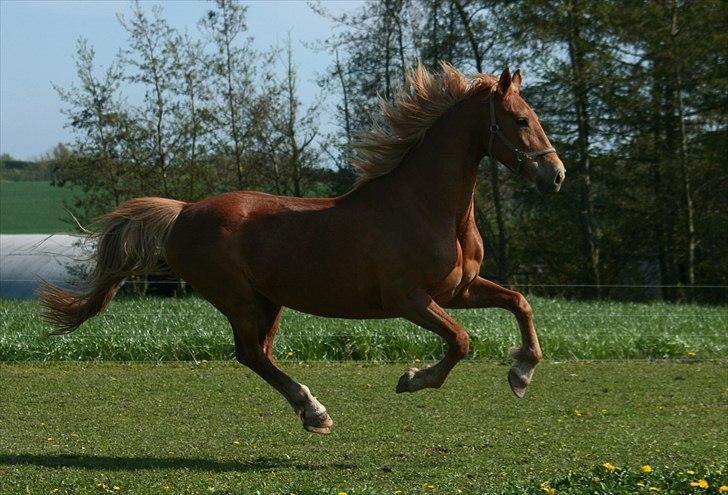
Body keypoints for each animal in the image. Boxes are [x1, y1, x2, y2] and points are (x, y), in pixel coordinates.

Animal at [42, 65, 564, 434]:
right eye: (521, 120)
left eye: (535, 117)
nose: (555, 176)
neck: (425, 206)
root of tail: (184, 211)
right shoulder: (410, 300)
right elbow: (460, 340)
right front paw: (412, 379)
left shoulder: (460, 289)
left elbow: (519, 302)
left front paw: (522, 373)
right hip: (237, 298)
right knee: (251, 354)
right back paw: (315, 412)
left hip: (268, 299)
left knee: (259, 353)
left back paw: (311, 410)